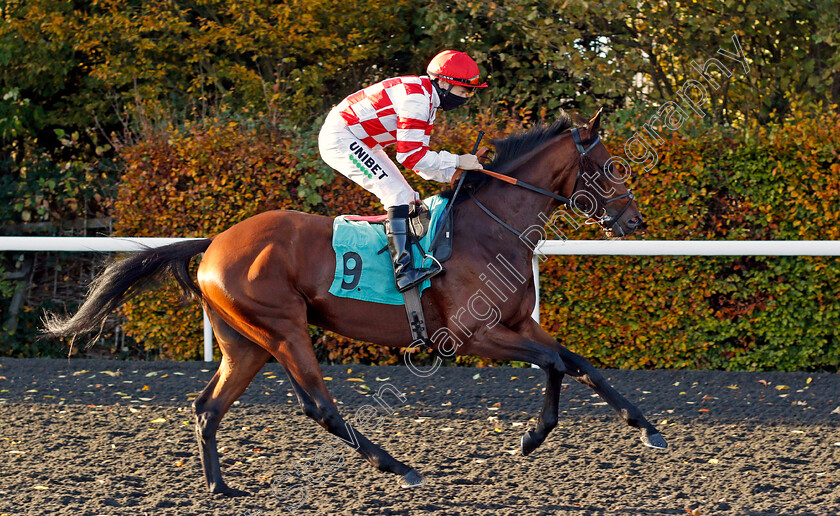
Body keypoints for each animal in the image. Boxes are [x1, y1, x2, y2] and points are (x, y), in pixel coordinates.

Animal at [46, 108, 668, 496]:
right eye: (608, 165)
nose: (635, 220)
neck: (490, 229)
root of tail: (215, 244)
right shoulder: (475, 336)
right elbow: (557, 363)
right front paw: (535, 435)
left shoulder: (519, 323)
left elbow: (576, 363)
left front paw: (644, 428)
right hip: (283, 330)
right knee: (318, 407)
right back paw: (399, 467)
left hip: (244, 345)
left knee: (207, 408)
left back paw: (220, 486)